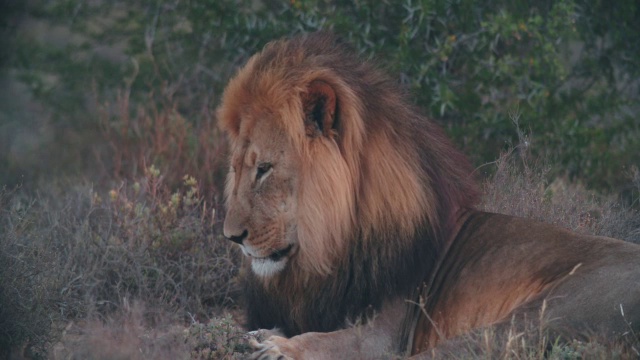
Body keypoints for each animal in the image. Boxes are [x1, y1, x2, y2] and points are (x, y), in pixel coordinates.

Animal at [216, 32, 640, 358]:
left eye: (264, 169)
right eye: (236, 168)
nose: (231, 237)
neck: (333, 247)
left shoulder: (385, 335)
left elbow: (331, 340)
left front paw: (280, 346)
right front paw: (265, 332)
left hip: (542, 314)